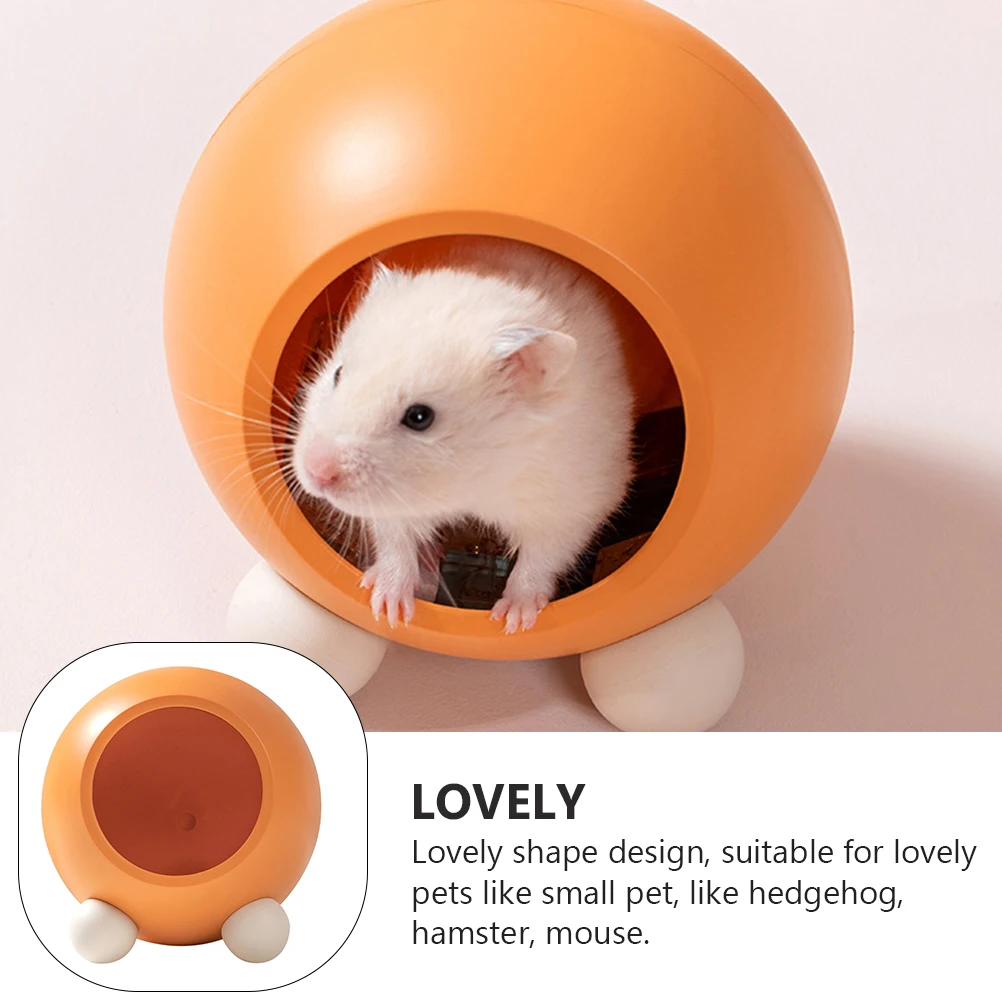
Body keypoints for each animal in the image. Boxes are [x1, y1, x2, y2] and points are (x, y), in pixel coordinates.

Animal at [291, 238, 634, 632]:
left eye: (420, 417)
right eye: (337, 374)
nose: (315, 472)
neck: (472, 479)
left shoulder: (573, 506)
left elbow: (540, 558)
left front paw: (513, 621)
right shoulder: (393, 508)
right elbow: (395, 540)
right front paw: (388, 608)